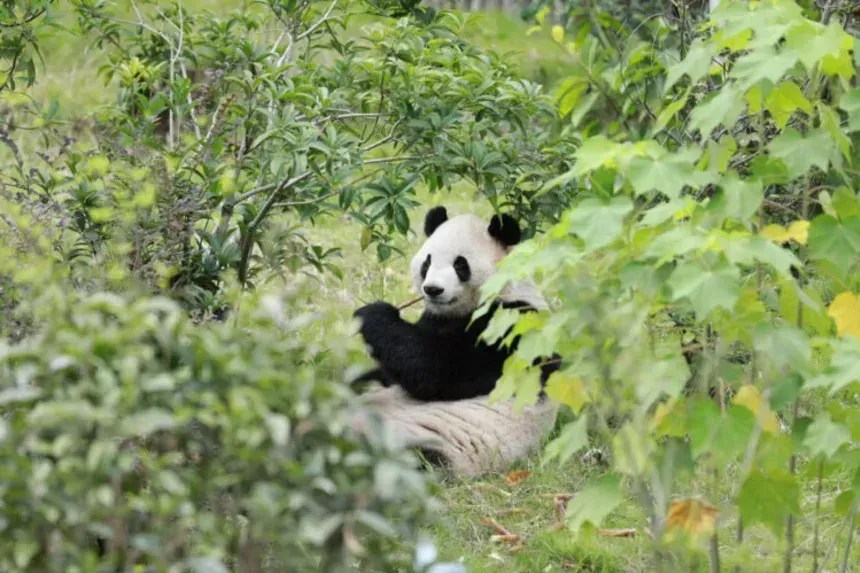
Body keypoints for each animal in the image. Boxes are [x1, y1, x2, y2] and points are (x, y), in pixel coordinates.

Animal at [352, 206, 559, 402]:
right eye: (427, 262)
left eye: (460, 264)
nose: (433, 289)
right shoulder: (433, 318)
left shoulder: (509, 324)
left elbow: (438, 367)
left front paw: (373, 314)